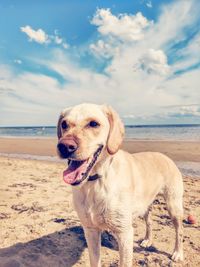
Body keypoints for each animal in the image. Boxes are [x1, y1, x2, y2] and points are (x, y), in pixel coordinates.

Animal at [56, 104, 183, 267]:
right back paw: (147, 240)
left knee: (179, 230)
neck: (96, 182)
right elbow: (94, 261)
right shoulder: (90, 230)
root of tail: (165, 156)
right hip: (145, 205)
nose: (64, 146)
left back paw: (178, 253)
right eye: (64, 124)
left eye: (93, 124)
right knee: (149, 222)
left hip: (174, 206)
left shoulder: (124, 233)